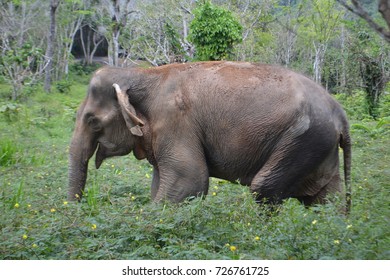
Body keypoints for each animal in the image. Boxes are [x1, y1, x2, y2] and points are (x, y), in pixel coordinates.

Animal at [68, 60, 352, 210]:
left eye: (92, 121)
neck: (142, 74)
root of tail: (341, 114)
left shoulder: (175, 121)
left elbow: (189, 180)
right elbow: (162, 182)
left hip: (303, 140)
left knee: (264, 188)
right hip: (318, 145)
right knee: (324, 198)